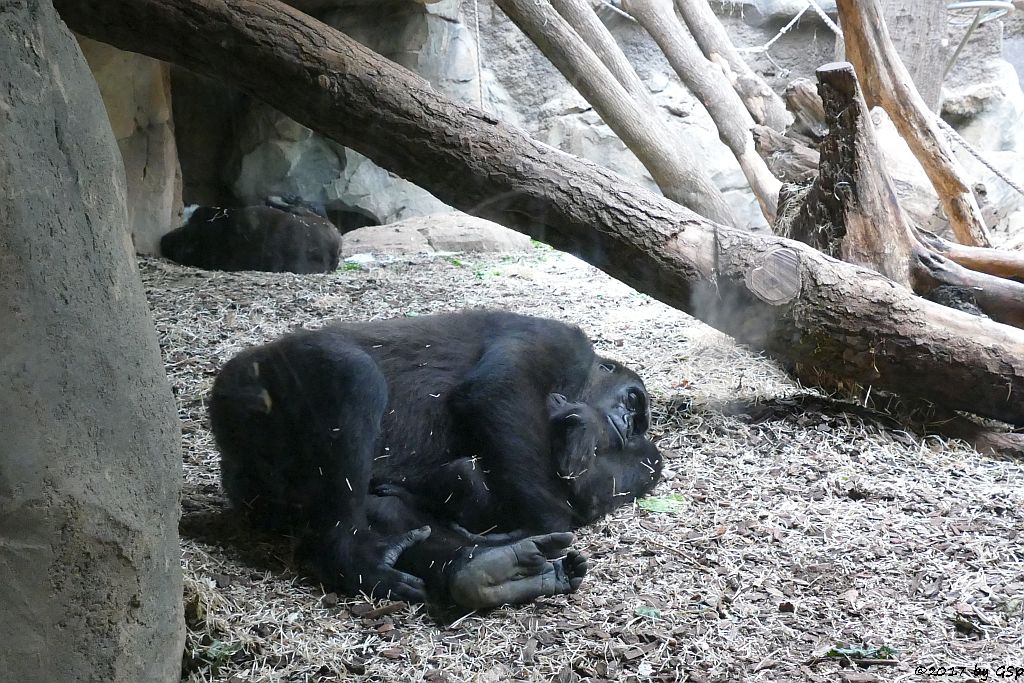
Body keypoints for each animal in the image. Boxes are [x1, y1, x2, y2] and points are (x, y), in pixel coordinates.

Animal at [209, 309, 663, 610]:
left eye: (637, 416)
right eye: (633, 402)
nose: (629, 423)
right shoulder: (560, 342)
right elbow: (498, 390)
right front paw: (540, 520)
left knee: (386, 506)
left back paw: (487, 573)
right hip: (249, 387)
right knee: (354, 375)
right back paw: (348, 557)